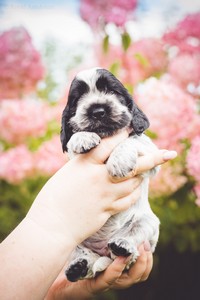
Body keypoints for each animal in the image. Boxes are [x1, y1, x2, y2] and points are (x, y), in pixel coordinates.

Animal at [60, 67, 160, 282]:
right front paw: (82, 138)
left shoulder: (151, 154)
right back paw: (78, 267)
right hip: (70, 238)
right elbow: (73, 143)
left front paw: (119, 161)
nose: (98, 111)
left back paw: (123, 248)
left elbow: (132, 140)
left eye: (113, 92)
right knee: (85, 260)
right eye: (78, 99)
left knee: (130, 244)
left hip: (148, 223)